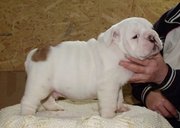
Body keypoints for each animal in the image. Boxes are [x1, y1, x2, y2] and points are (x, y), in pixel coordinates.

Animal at [20, 17, 162, 118]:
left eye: (152, 28)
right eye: (135, 36)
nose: (152, 37)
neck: (118, 50)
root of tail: (34, 54)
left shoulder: (118, 85)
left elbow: (119, 98)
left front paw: (120, 108)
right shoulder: (108, 87)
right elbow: (109, 102)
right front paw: (109, 116)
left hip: (49, 87)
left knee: (46, 99)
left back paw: (55, 108)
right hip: (39, 85)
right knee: (29, 100)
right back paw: (27, 115)